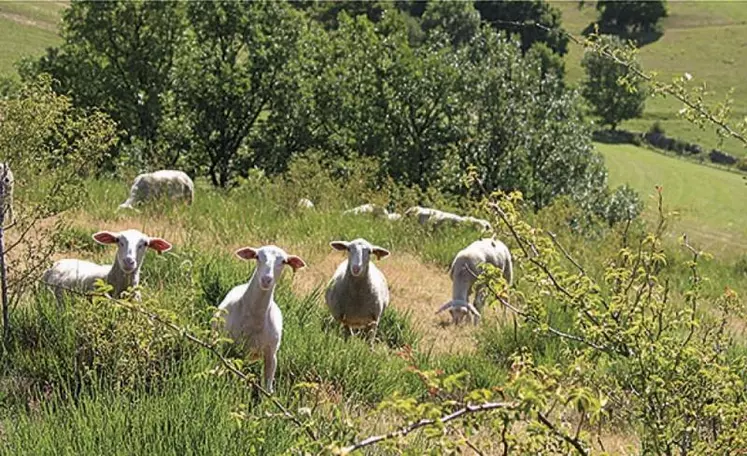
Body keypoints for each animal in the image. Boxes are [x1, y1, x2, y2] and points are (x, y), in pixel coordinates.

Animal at [212, 246, 306, 392]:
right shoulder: (226, 346)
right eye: (257, 256)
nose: (266, 279)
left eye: (284, 261)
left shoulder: (271, 354)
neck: (255, 319)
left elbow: (267, 388)